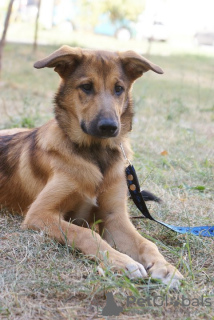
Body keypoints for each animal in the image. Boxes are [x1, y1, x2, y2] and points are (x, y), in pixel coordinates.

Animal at [0, 45, 183, 288]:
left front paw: (165, 267)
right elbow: (86, 234)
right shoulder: (40, 214)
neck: (96, 154)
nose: (109, 127)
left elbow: (146, 243)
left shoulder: (115, 218)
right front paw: (122, 262)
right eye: (86, 87)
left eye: (118, 89)